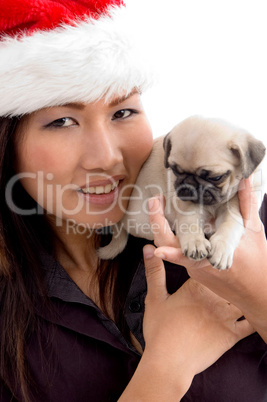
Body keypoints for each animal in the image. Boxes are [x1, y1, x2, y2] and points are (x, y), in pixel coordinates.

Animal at [98, 115, 266, 270]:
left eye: (216, 178)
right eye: (175, 170)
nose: (188, 185)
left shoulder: (236, 204)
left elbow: (230, 224)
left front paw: (222, 249)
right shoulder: (186, 206)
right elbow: (189, 222)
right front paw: (195, 242)